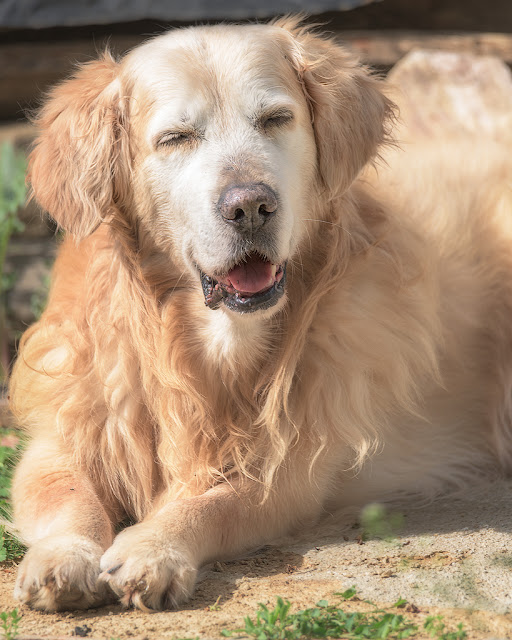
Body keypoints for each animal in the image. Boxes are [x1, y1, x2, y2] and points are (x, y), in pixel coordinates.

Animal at [9, 18, 512, 608]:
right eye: (176, 138)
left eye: (275, 119)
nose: (250, 206)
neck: (207, 345)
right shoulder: (62, 436)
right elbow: (67, 496)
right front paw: (64, 556)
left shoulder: (293, 468)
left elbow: (212, 502)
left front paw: (153, 548)